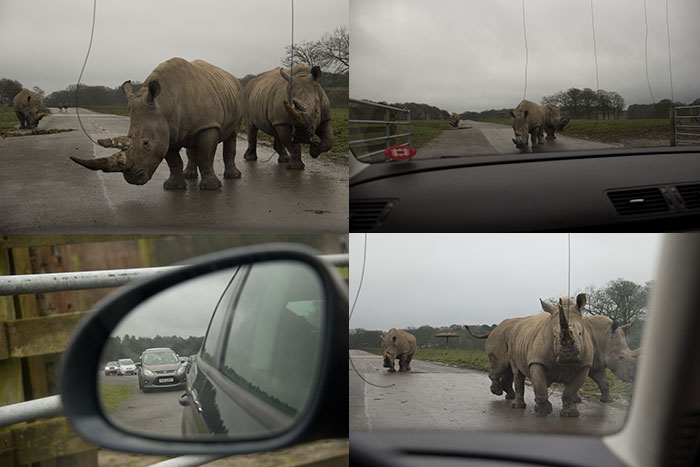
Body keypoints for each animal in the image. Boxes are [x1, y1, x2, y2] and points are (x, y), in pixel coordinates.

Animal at [71, 57, 244, 190]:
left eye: (146, 143)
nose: (131, 179)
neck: (164, 102)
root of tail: (232, 78)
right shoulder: (166, 130)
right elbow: (173, 160)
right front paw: (173, 187)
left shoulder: (208, 125)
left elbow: (205, 156)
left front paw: (211, 188)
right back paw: (189, 175)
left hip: (235, 99)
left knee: (232, 135)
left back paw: (233, 176)